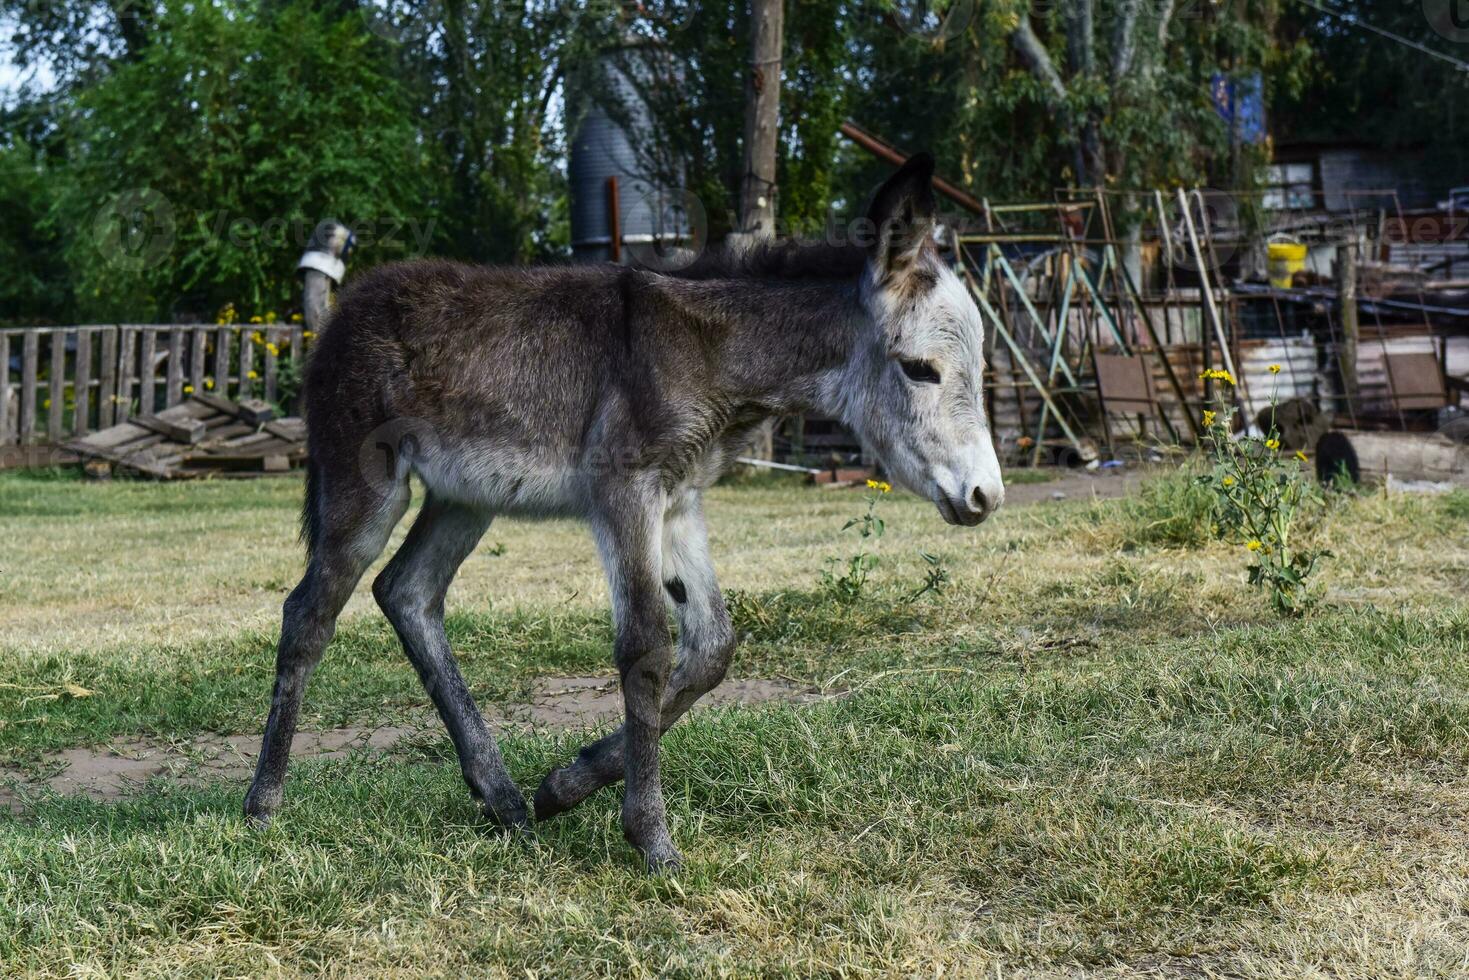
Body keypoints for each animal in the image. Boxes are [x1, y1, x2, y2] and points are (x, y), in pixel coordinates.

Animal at [243, 155, 998, 875]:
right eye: (921, 369)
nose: (985, 498)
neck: (709, 353)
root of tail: (343, 309)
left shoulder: (679, 501)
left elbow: (712, 649)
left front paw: (564, 787)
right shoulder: (626, 492)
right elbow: (646, 647)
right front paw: (652, 841)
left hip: (466, 498)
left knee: (407, 593)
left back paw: (504, 800)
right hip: (368, 488)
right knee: (309, 613)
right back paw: (263, 804)